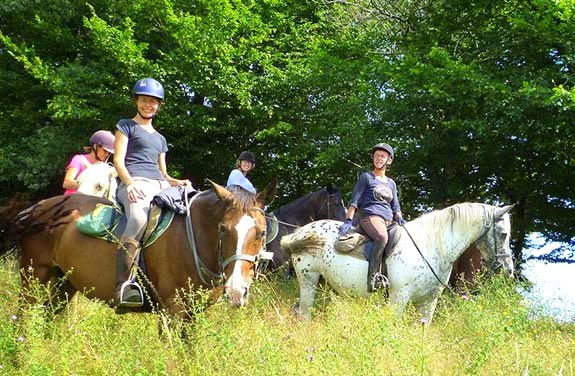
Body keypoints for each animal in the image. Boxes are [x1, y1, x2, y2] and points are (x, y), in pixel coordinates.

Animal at [6, 182, 276, 318]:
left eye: (261, 233)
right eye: (222, 229)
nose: (236, 290)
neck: (191, 242)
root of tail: (37, 208)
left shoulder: (195, 314)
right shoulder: (172, 311)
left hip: (65, 283)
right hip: (34, 277)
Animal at [282, 203, 516, 324]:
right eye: (503, 234)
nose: (509, 270)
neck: (430, 246)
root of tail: (300, 233)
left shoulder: (428, 302)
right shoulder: (399, 298)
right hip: (308, 280)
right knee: (304, 312)